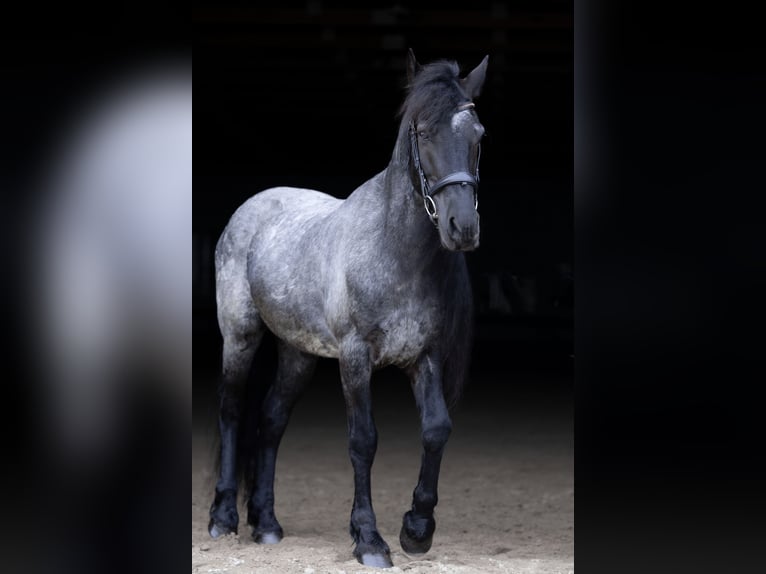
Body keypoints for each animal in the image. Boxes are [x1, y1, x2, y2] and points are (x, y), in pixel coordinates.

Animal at [208, 49, 488, 568]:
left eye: (478, 135)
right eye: (423, 133)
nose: (462, 227)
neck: (393, 250)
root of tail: (253, 206)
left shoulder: (424, 356)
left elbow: (436, 428)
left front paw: (416, 530)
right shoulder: (356, 358)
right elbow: (363, 441)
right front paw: (370, 540)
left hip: (298, 353)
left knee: (271, 419)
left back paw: (267, 524)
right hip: (240, 336)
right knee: (232, 409)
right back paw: (222, 518)